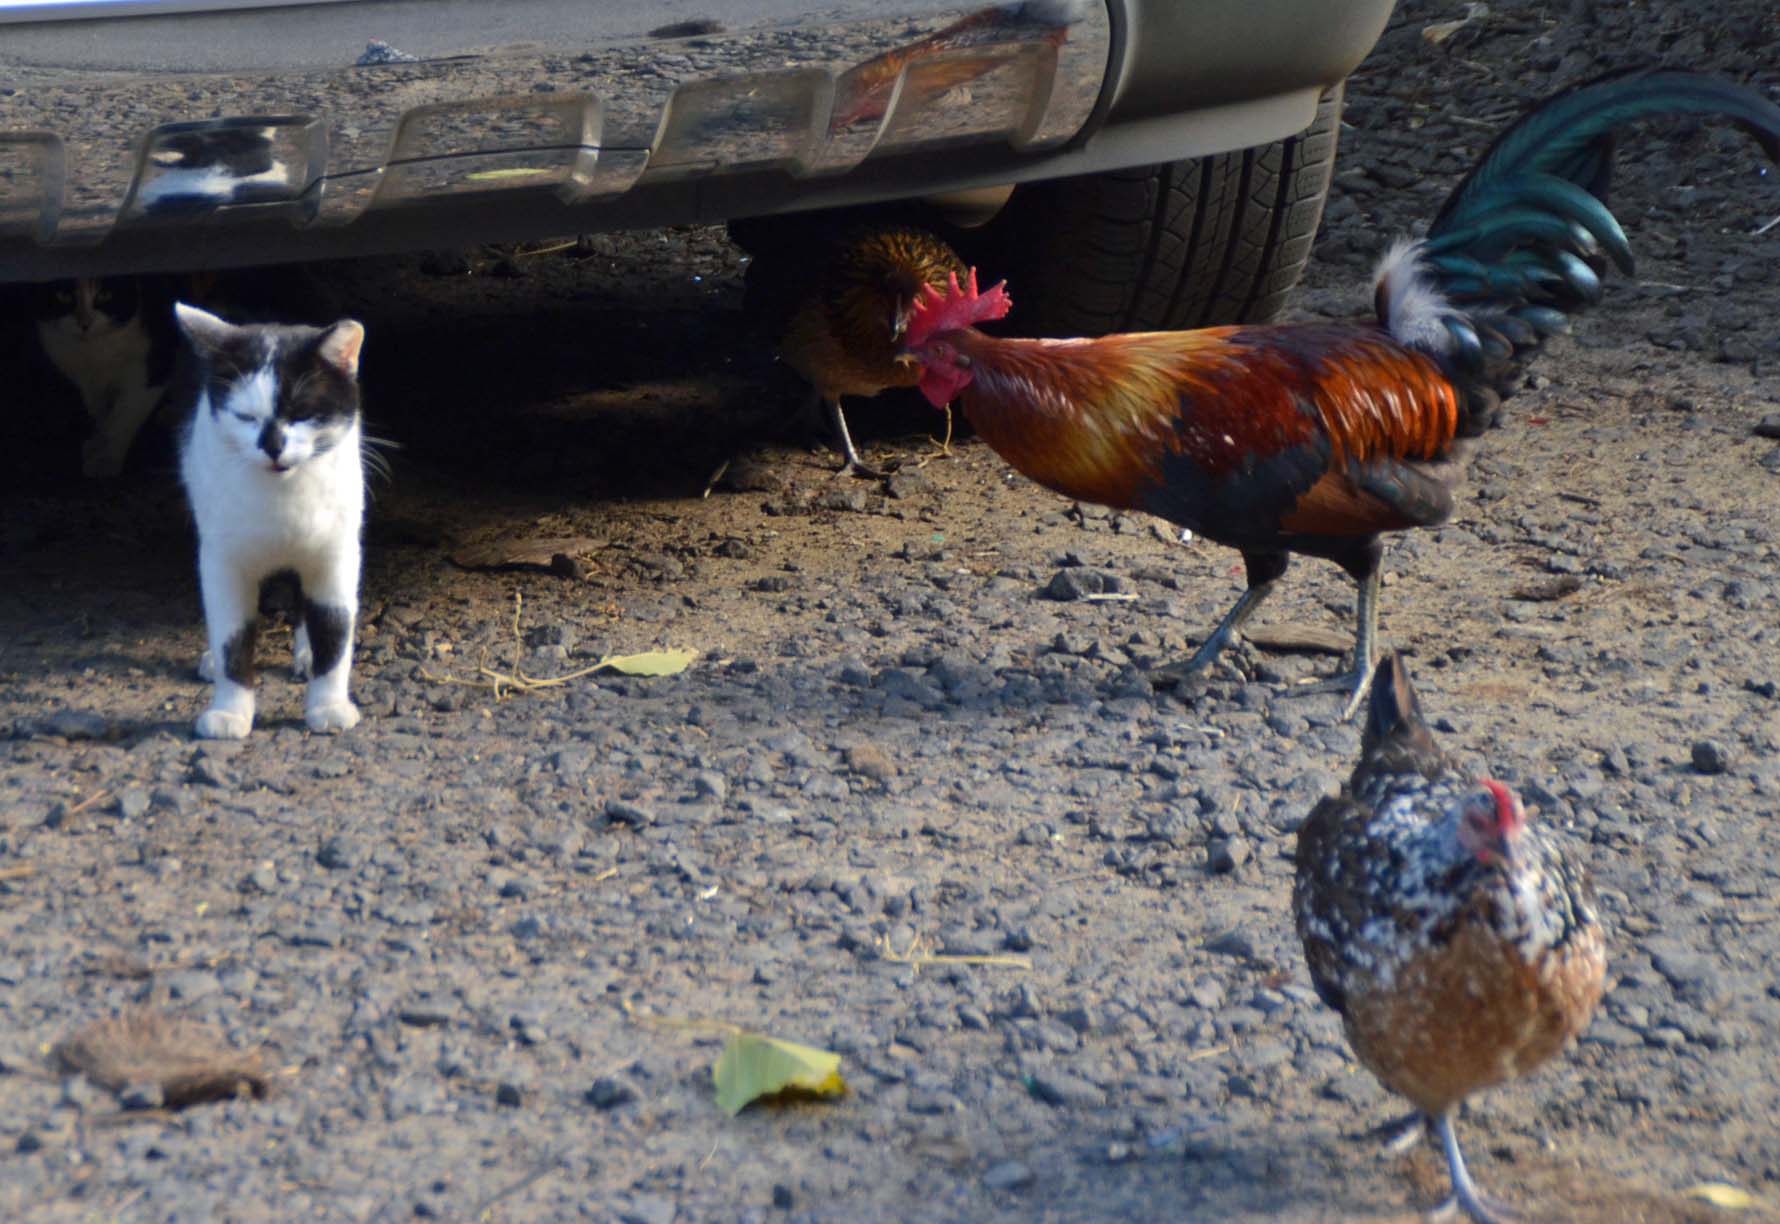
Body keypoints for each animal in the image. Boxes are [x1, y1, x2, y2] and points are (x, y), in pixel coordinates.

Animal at [173, 300, 368, 740]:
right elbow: (232, 636)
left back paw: (307, 653)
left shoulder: (337, 552)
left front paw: (329, 705)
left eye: (303, 413)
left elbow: (335, 627)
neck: (283, 497)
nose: (273, 445)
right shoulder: (222, 560)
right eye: (245, 416)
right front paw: (230, 711)